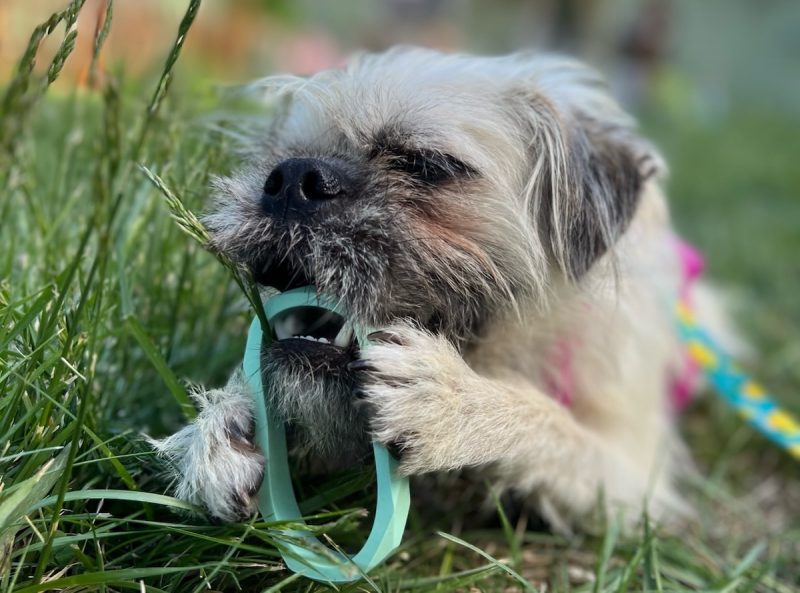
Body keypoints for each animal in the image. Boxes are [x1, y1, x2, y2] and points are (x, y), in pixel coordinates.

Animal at [148, 46, 724, 528]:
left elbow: (556, 428)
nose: (292, 178)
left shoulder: (635, 482)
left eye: (425, 165)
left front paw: (460, 402)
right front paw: (217, 427)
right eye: (278, 157)